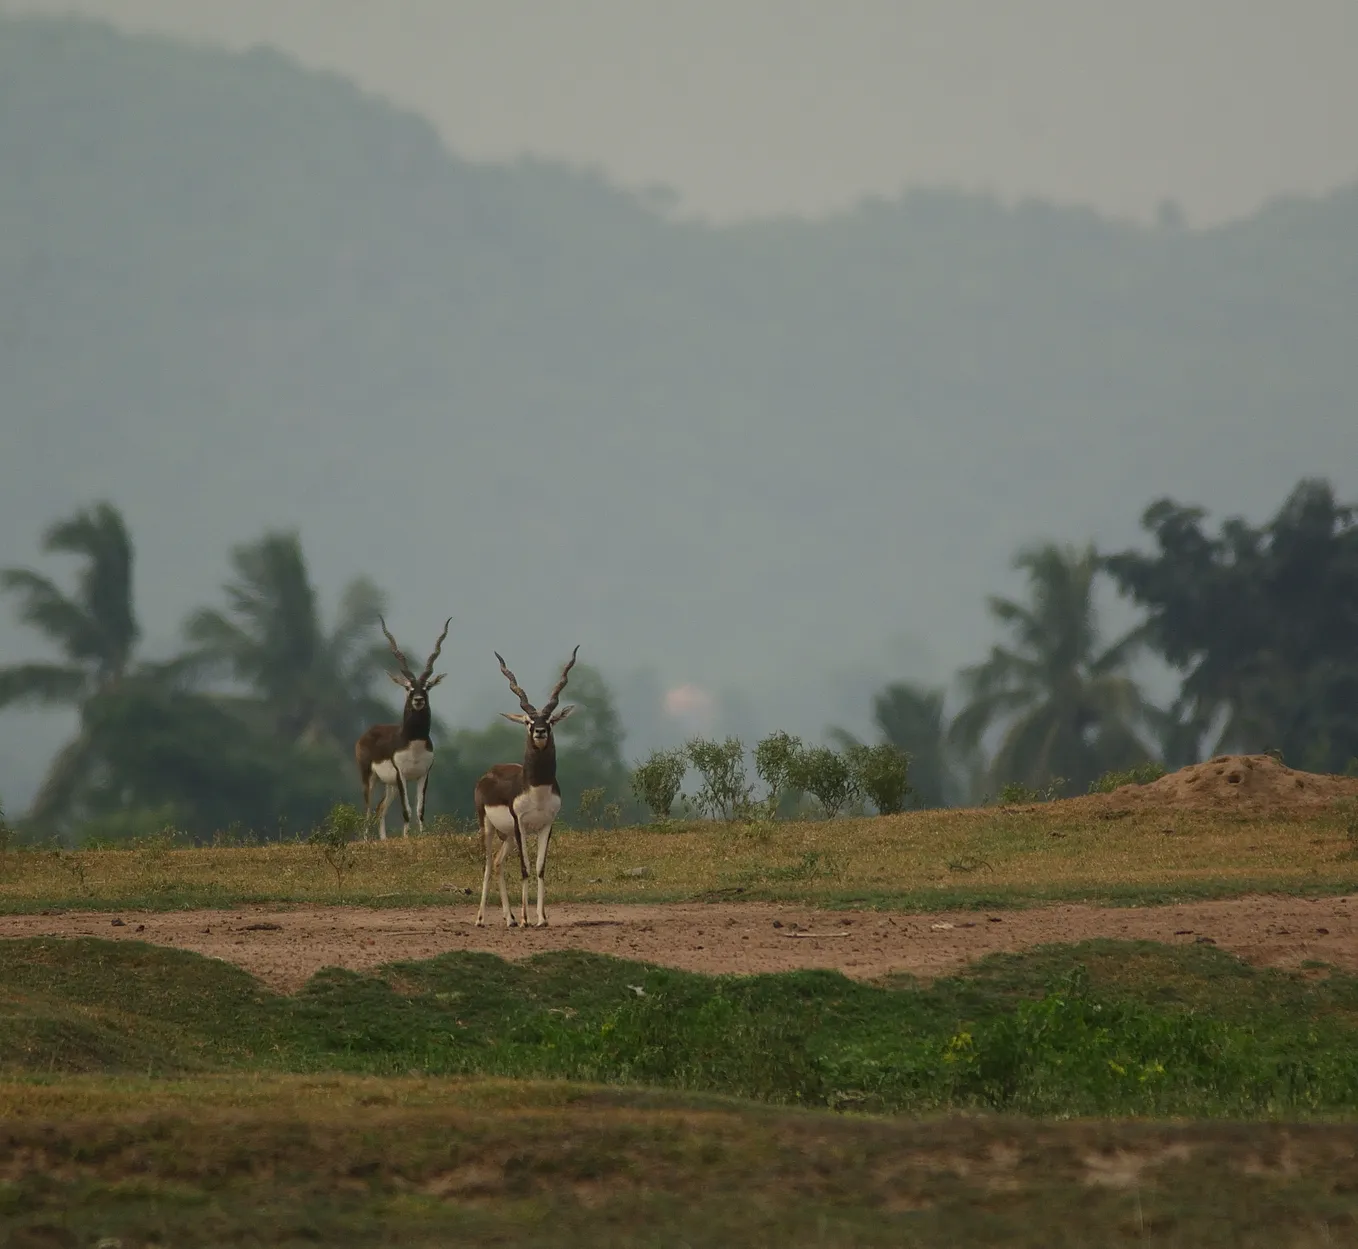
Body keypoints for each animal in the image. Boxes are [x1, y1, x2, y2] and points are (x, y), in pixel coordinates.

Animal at [355, 613, 450, 841]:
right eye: (408, 687)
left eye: (427, 687)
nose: (418, 700)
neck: (413, 742)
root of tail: (368, 732)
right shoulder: (402, 775)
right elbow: (406, 811)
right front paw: (407, 838)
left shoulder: (423, 775)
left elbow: (419, 810)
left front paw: (421, 837)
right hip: (369, 777)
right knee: (368, 808)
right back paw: (366, 841)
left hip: (390, 785)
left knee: (380, 808)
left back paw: (383, 840)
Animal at [472, 643, 578, 928]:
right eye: (529, 721)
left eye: (549, 720)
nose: (540, 731)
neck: (537, 790)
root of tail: (488, 773)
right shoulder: (520, 823)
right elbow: (524, 868)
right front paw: (525, 918)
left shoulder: (546, 826)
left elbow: (539, 868)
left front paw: (541, 918)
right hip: (488, 827)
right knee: (488, 865)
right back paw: (481, 918)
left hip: (507, 835)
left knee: (499, 863)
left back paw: (508, 919)